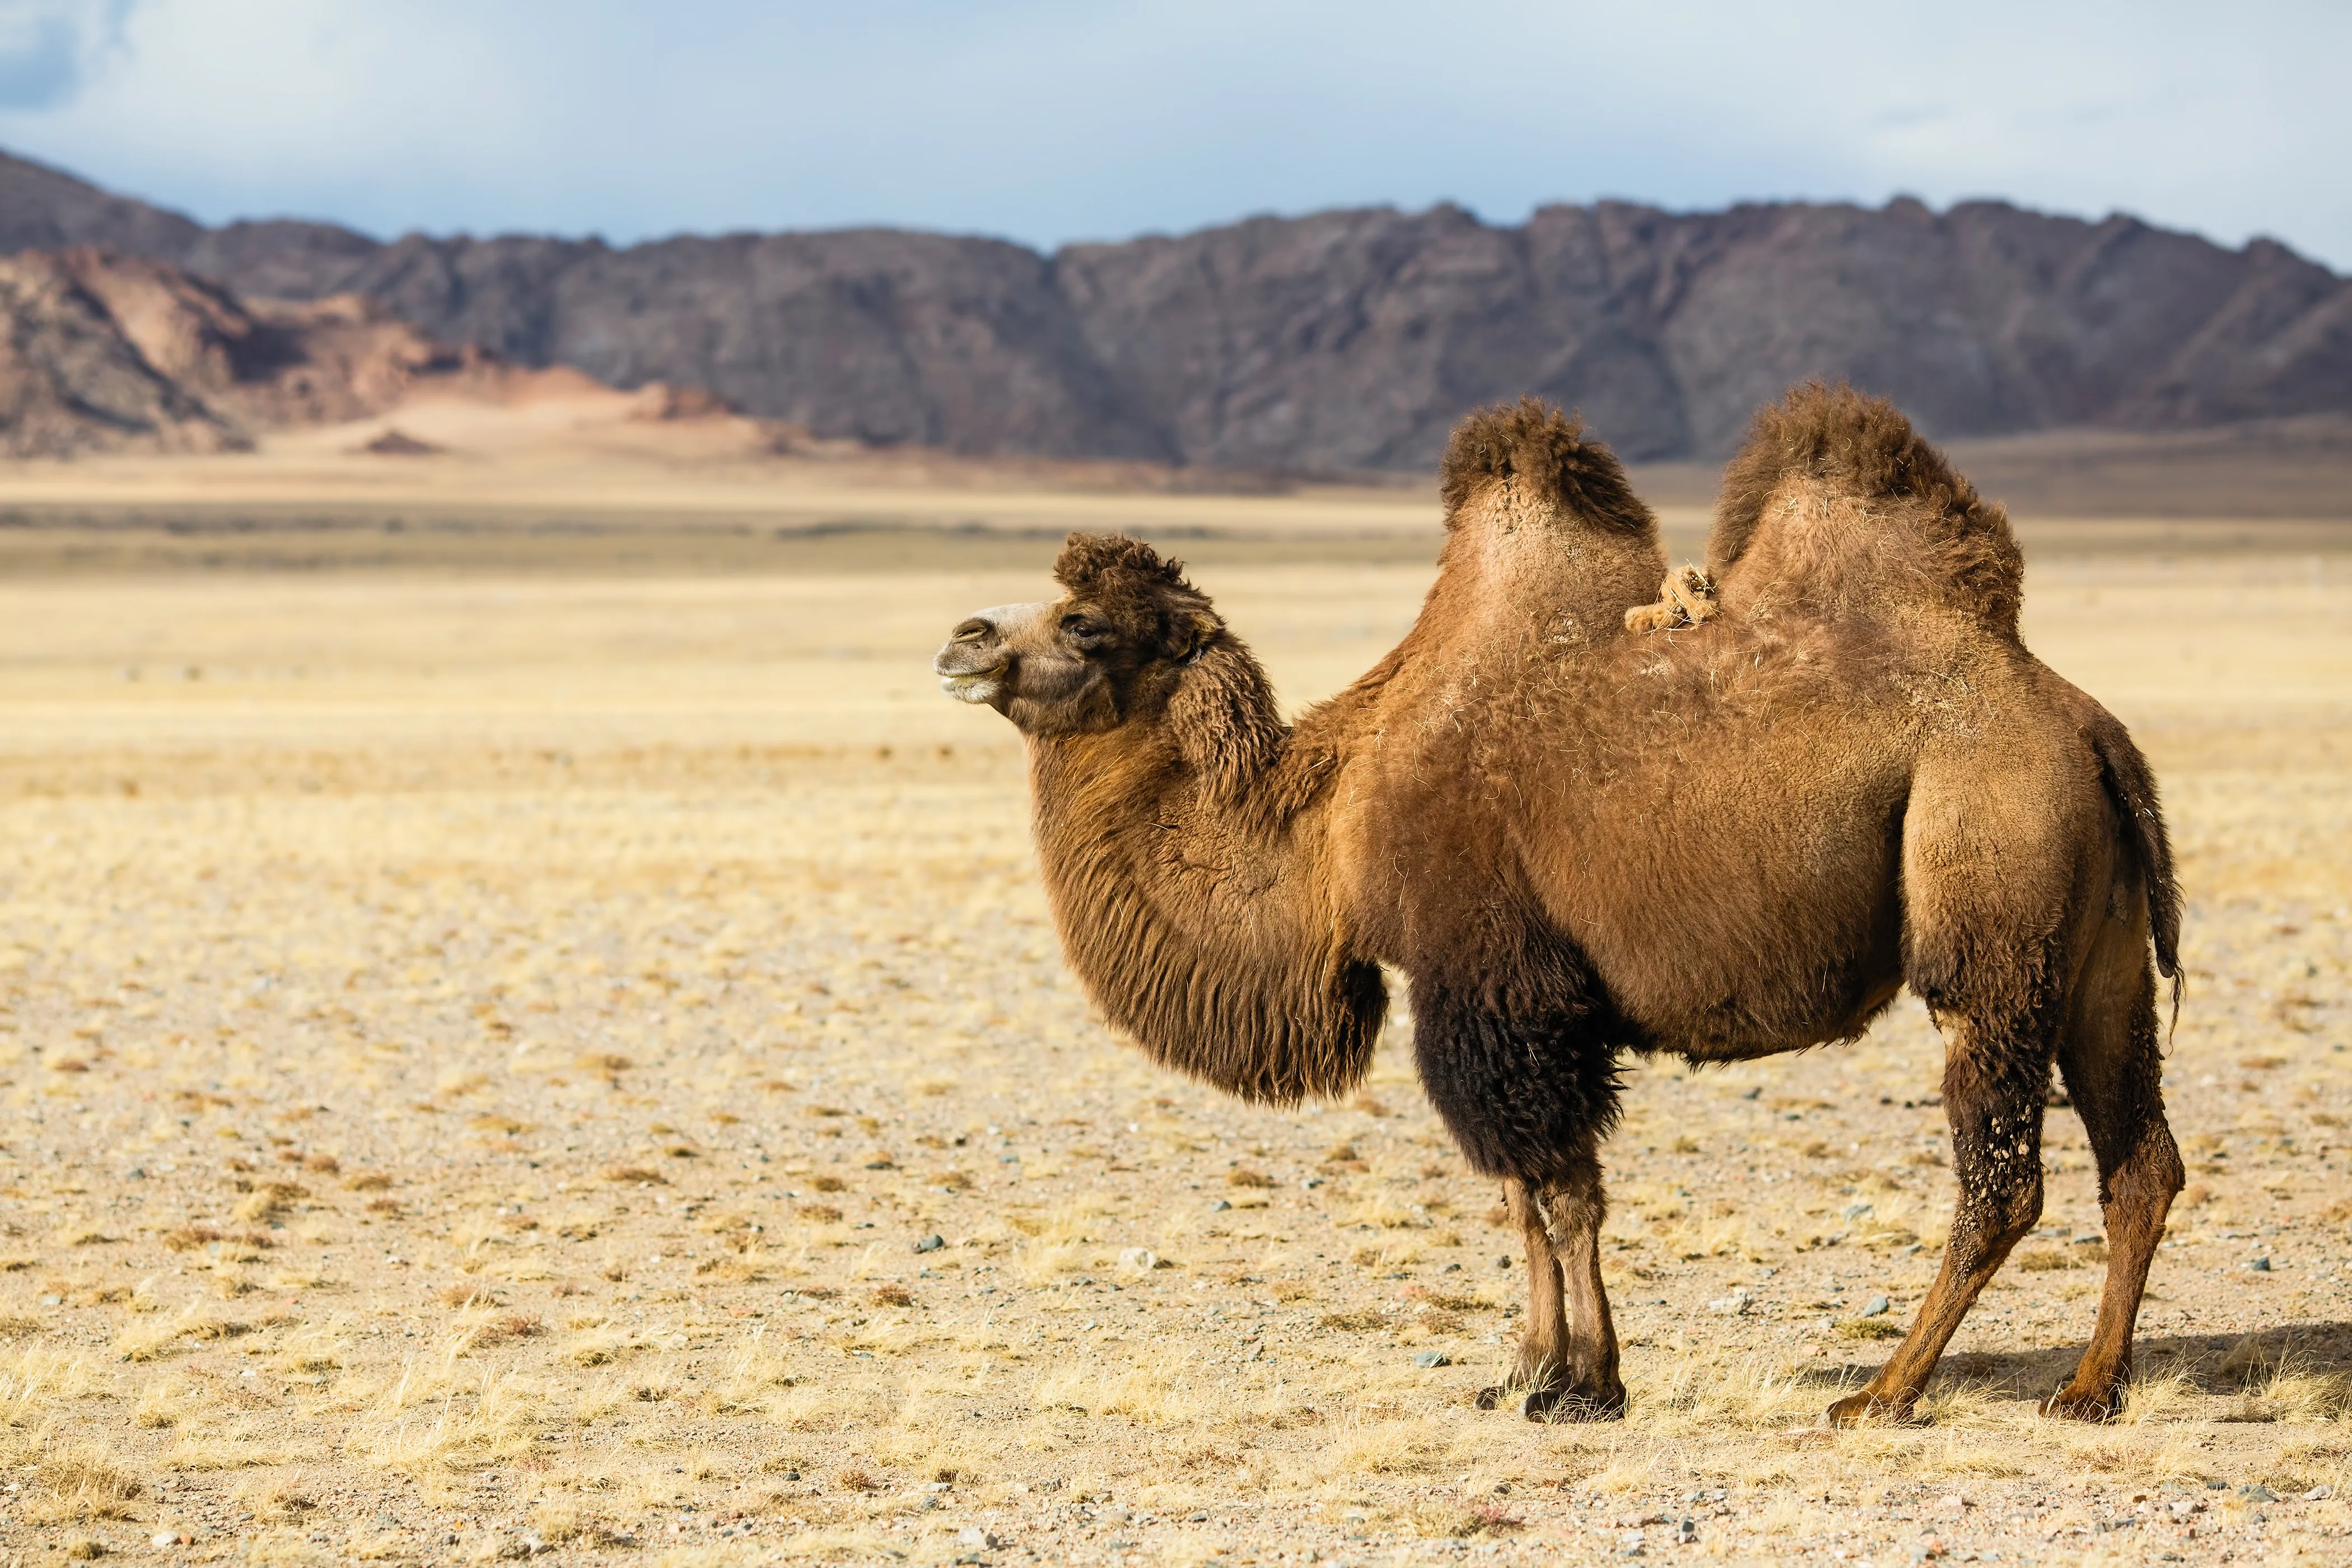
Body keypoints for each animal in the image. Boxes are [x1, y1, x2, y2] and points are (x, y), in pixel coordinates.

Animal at [931, 384, 2184, 1425]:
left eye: (1085, 623)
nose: (962, 637)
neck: (1330, 818)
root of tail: (2086, 726)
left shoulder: (1498, 987)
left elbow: (1559, 1190)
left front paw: (1581, 1384)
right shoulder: (1496, 1002)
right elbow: (1518, 1196)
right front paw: (1527, 1369)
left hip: (1993, 896)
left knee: (2004, 1175)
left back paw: (1884, 1391)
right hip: (2098, 956)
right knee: (2142, 1162)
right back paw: (2087, 1387)